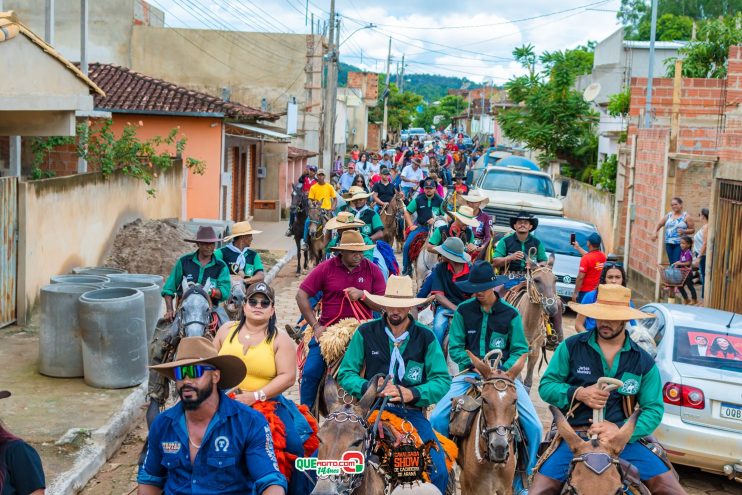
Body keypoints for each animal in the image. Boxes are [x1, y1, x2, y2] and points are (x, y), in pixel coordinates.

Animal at [460, 350, 528, 495]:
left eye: (515, 400)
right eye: (484, 399)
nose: (499, 448)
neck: (492, 464)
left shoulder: (506, 489)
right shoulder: (468, 487)